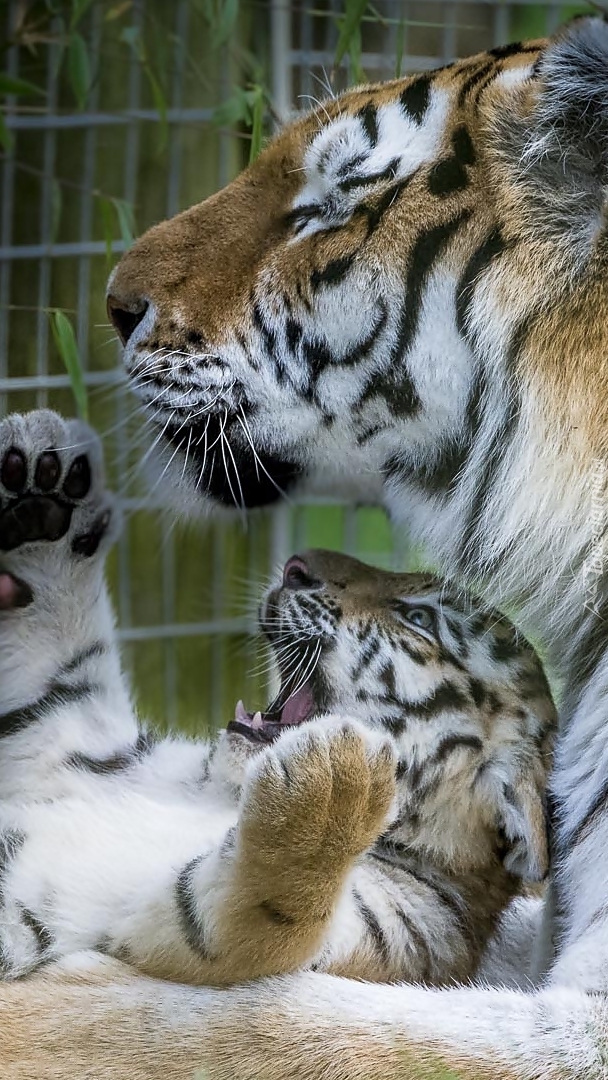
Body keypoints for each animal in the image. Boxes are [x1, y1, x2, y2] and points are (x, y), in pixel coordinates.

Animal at [2, 14, 604, 1080]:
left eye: (420, 617)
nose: (297, 566)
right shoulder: (66, 741)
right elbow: (49, 675)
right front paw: (43, 490)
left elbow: (249, 957)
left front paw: (332, 792)